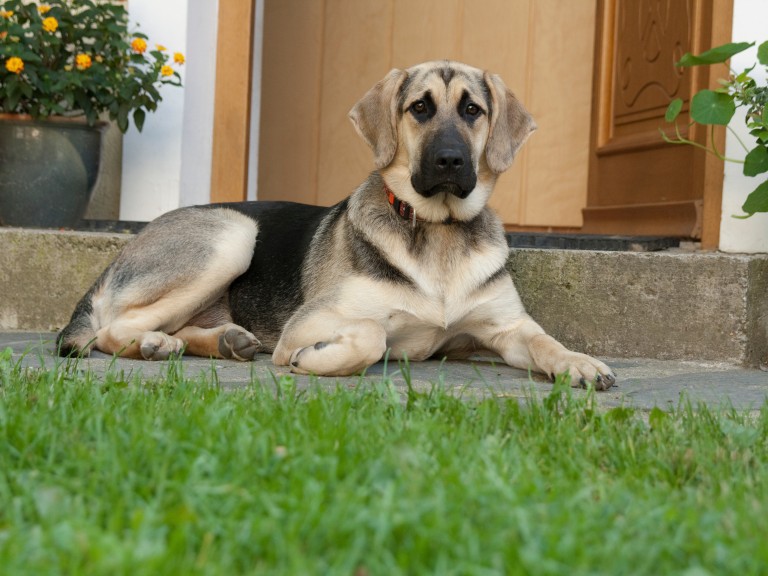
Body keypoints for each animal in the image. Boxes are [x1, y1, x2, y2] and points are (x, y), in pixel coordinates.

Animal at [55, 60, 616, 390]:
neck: (438, 231)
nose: (451, 161)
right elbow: (369, 335)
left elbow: (545, 341)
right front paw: (316, 358)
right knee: (110, 328)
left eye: (473, 110)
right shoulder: (312, 321)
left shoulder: (506, 328)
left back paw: (225, 342)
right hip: (233, 236)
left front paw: (579, 361)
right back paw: (154, 345)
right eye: (420, 108)